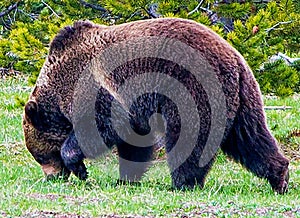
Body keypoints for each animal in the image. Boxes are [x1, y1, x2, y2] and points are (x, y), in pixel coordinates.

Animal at [22, 17, 290, 193]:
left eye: (41, 155)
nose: (52, 177)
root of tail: (235, 57)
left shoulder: (98, 91)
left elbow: (100, 127)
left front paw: (78, 166)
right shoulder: (132, 109)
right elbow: (134, 142)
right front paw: (125, 178)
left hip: (193, 89)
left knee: (189, 138)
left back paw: (183, 183)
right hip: (242, 98)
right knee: (250, 136)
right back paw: (280, 176)